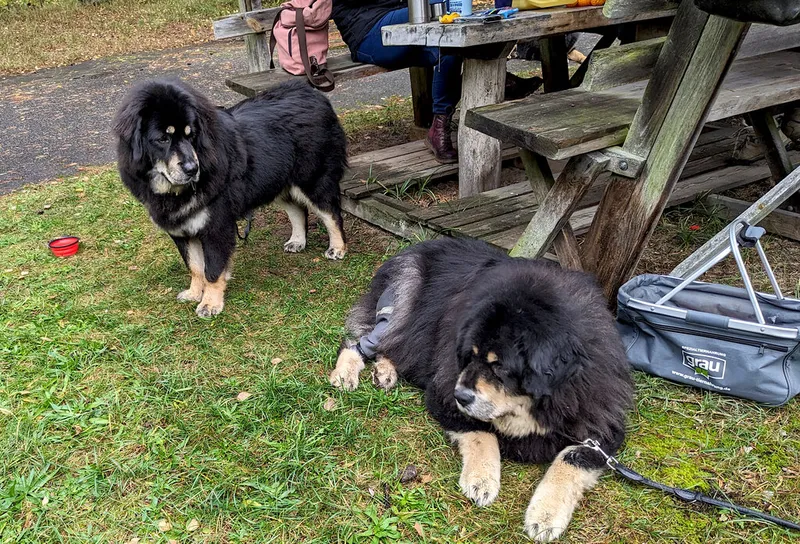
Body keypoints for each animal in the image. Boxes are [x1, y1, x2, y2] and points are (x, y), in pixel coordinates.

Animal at [113, 79, 348, 317]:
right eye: (162, 139)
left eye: (191, 135)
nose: (192, 169)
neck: (175, 191)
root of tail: (312, 93)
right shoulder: (181, 231)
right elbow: (195, 267)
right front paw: (194, 293)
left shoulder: (217, 228)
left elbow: (212, 270)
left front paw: (210, 303)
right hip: (277, 182)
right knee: (298, 210)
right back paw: (298, 241)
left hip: (313, 181)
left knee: (332, 214)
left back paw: (337, 248)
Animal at [329, 238, 633, 542]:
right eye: (469, 356)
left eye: (499, 367)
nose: (460, 396)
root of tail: (412, 250)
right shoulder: (443, 395)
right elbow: (482, 433)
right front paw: (482, 478)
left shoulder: (602, 424)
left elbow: (571, 459)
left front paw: (546, 515)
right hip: (400, 308)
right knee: (356, 343)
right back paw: (345, 375)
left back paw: (385, 372)